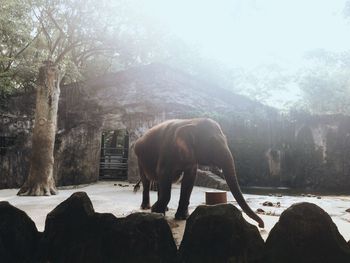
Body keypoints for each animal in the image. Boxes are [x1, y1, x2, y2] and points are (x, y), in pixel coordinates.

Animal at [135, 118, 266, 229]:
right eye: (212, 143)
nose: (261, 225)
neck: (191, 121)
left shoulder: (191, 159)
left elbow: (189, 179)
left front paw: (182, 217)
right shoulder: (167, 151)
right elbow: (164, 174)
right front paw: (155, 211)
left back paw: (164, 209)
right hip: (139, 159)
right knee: (146, 181)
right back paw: (146, 207)